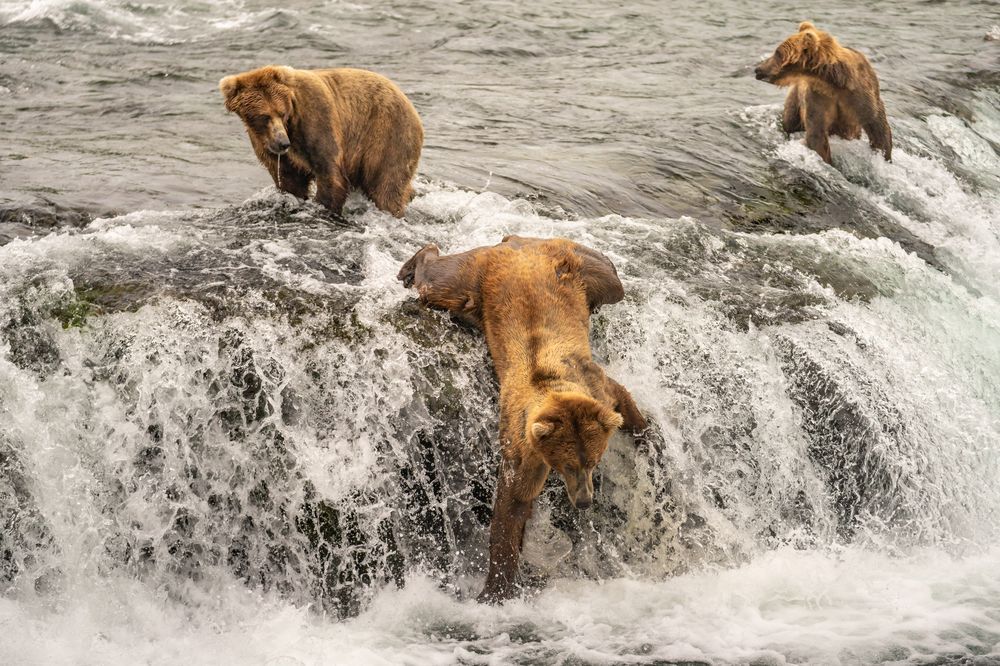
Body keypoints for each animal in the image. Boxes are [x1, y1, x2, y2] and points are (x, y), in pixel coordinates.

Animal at [219, 65, 422, 215]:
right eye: (263, 116)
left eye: (281, 113)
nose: (283, 143)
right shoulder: (267, 145)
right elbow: (290, 179)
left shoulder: (316, 119)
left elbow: (330, 173)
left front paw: (323, 205)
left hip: (387, 134)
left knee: (386, 186)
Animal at [396, 235, 648, 600]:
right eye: (567, 464)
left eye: (593, 461)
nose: (584, 501)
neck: (551, 382)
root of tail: (517, 244)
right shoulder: (522, 440)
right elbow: (514, 500)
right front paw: (495, 588)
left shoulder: (596, 387)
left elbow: (623, 400)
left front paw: (646, 435)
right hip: (477, 279)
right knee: (440, 283)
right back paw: (414, 263)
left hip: (576, 266)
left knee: (613, 281)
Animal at [752, 23, 896, 165]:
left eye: (778, 53)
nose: (758, 69)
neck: (833, 82)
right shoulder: (817, 97)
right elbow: (817, 133)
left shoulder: (860, 94)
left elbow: (877, 125)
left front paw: (883, 156)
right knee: (790, 120)